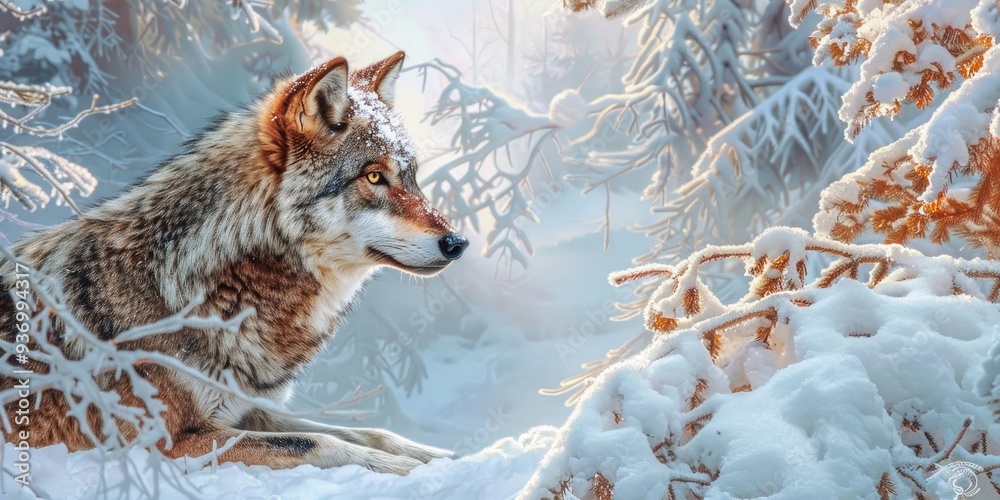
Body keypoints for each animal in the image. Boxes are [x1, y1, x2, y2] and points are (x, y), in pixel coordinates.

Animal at [0, 52, 469, 474]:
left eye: (411, 177)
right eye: (373, 176)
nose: (458, 243)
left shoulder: (247, 409)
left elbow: (365, 432)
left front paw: (442, 458)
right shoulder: (167, 443)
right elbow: (318, 442)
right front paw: (395, 468)